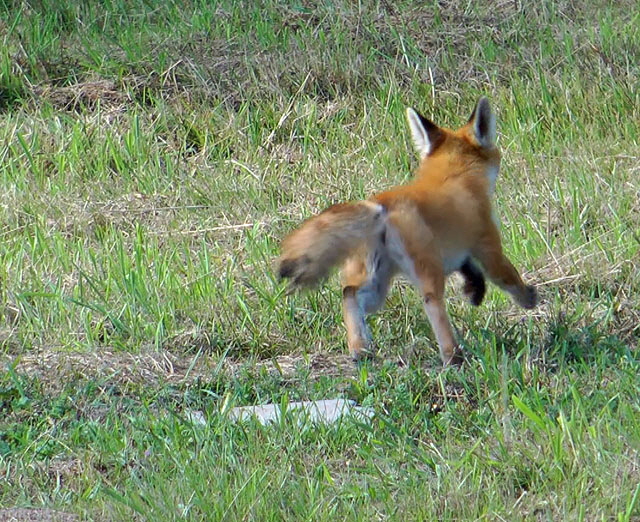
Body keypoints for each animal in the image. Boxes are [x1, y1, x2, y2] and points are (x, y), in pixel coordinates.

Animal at [278, 97, 537, 366]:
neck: (455, 177)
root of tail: (382, 204)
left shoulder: (460, 253)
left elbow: (471, 272)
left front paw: (474, 292)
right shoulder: (487, 246)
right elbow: (507, 276)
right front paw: (528, 298)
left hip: (377, 282)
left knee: (350, 294)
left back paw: (360, 347)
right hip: (426, 269)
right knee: (432, 302)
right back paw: (452, 355)